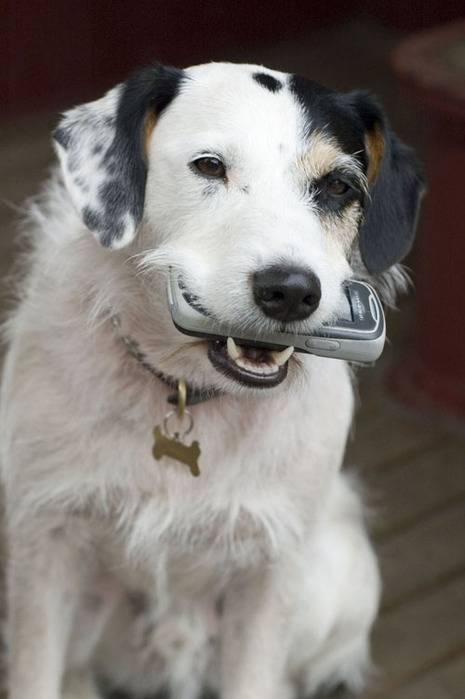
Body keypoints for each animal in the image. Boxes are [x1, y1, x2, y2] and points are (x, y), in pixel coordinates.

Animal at [0, 61, 422, 699]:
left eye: (338, 187)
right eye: (209, 166)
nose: (291, 291)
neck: (186, 389)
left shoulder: (272, 570)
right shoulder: (45, 540)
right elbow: (34, 673)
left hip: (340, 576)